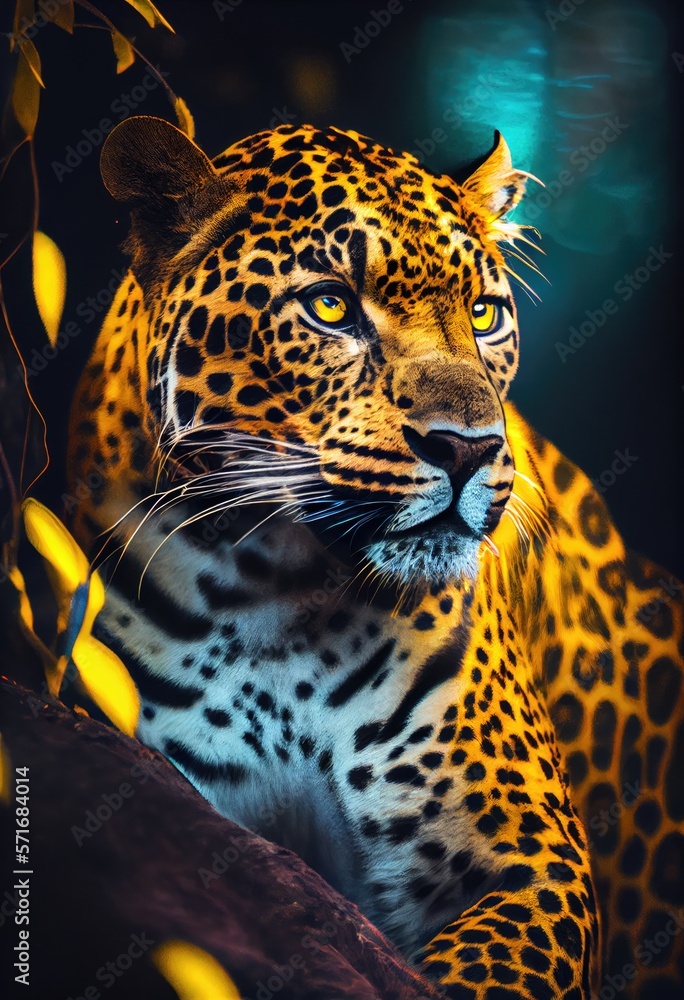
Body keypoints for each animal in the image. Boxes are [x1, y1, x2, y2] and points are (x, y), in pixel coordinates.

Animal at [67, 114, 684, 999]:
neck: (271, 594)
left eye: (485, 315)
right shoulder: (171, 796)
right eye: (330, 305)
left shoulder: (541, 865)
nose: (469, 447)